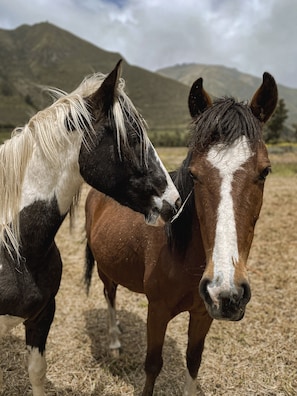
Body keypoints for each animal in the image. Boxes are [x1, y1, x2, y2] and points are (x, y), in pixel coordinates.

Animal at [84, 72, 278, 396]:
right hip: (104, 270)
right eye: (195, 175)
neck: (182, 252)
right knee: (109, 296)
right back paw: (114, 342)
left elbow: (193, 362)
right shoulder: (157, 311)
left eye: (264, 171)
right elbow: (152, 365)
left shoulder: (203, 313)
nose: (227, 292)